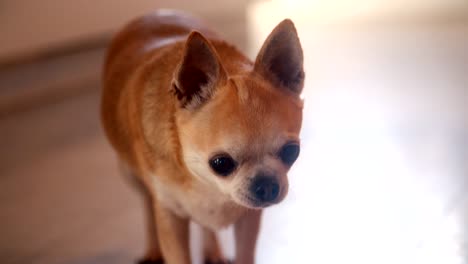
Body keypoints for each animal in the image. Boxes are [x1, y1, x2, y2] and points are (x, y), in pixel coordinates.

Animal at [101, 9, 304, 264]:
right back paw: (153, 250)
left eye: (291, 152)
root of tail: (153, 12)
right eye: (221, 163)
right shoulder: (170, 216)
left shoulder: (248, 216)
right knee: (147, 203)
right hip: (130, 174)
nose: (267, 186)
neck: (209, 187)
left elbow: (244, 254)